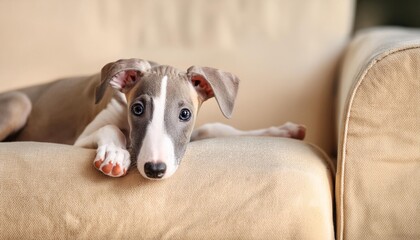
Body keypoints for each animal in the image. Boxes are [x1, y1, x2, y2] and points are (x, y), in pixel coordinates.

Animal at [0, 58, 304, 180]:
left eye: (185, 114)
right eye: (137, 109)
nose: (155, 169)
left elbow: (213, 127)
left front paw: (283, 131)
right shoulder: (83, 137)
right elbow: (111, 128)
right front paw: (114, 155)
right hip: (19, 103)